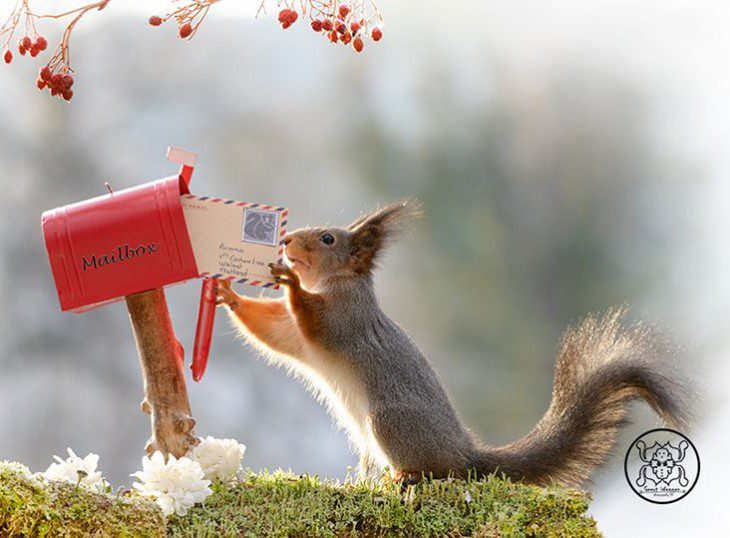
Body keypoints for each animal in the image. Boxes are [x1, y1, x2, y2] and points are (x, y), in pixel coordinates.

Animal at [216, 200, 691, 487]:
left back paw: (406, 476)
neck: (336, 284)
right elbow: (274, 333)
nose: (285, 240)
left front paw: (290, 281)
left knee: (437, 472)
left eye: (328, 238)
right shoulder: (295, 336)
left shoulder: (344, 319)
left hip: (390, 422)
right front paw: (226, 292)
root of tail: (467, 455)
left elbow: (313, 317)